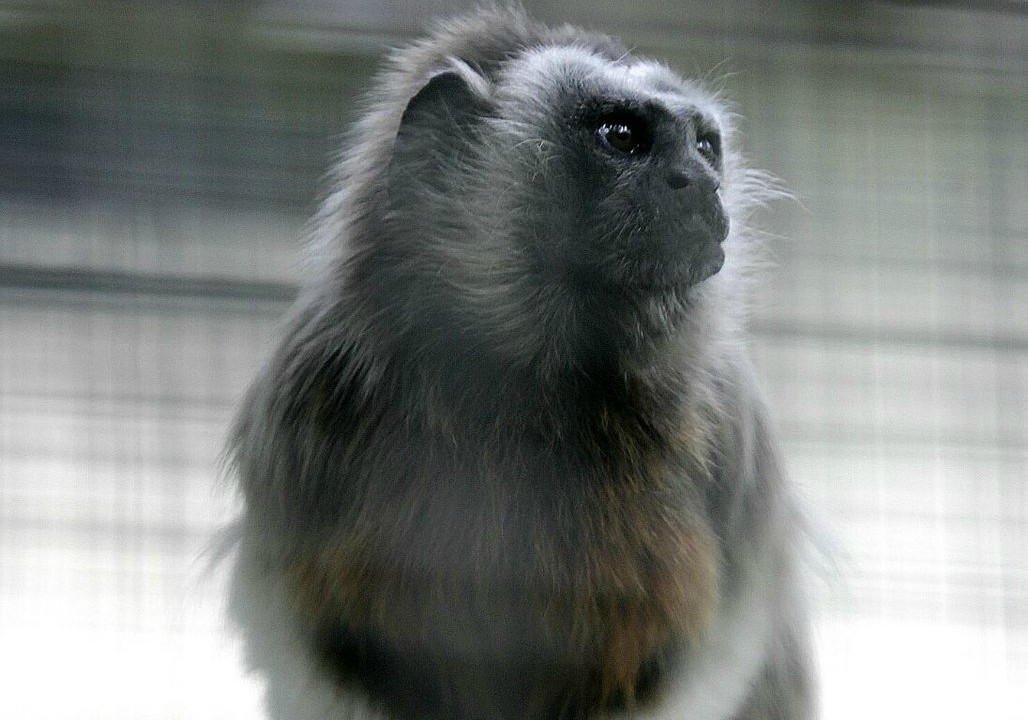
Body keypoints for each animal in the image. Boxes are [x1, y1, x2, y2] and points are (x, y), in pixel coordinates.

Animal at [225, 6, 817, 720]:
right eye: (622, 136)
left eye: (704, 146)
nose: (702, 185)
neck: (532, 387)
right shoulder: (313, 385)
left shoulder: (729, 424)